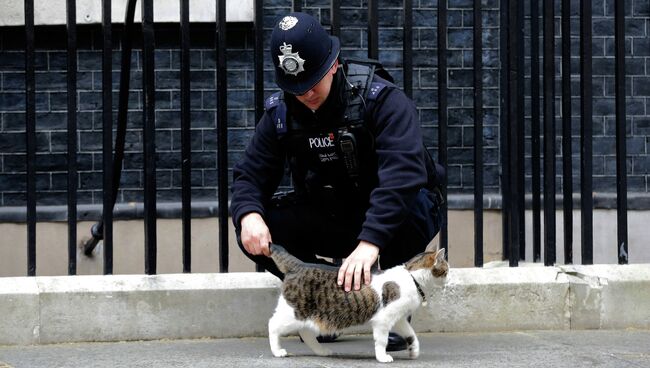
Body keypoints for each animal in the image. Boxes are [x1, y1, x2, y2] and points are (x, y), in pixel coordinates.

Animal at [268, 244, 446, 362]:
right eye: (446, 270)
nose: (448, 278)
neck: (412, 277)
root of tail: (299, 265)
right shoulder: (383, 320)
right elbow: (381, 340)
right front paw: (382, 357)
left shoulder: (399, 318)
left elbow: (411, 334)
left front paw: (414, 350)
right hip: (294, 312)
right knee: (273, 325)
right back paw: (277, 351)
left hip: (311, 316)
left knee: (305, 333)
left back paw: (321, 351)